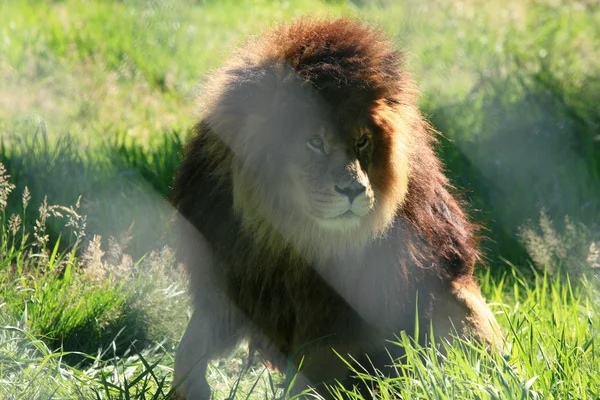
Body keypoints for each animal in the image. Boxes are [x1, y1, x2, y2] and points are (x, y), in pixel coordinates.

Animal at [170, 17, 502, 398]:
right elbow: (190, 346)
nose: (354, 190)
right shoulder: (228, 279)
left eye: (363, 141)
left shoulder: (341, 312)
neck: (290, 233)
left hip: (457, 298)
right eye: (315, 143)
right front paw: (189, 386)